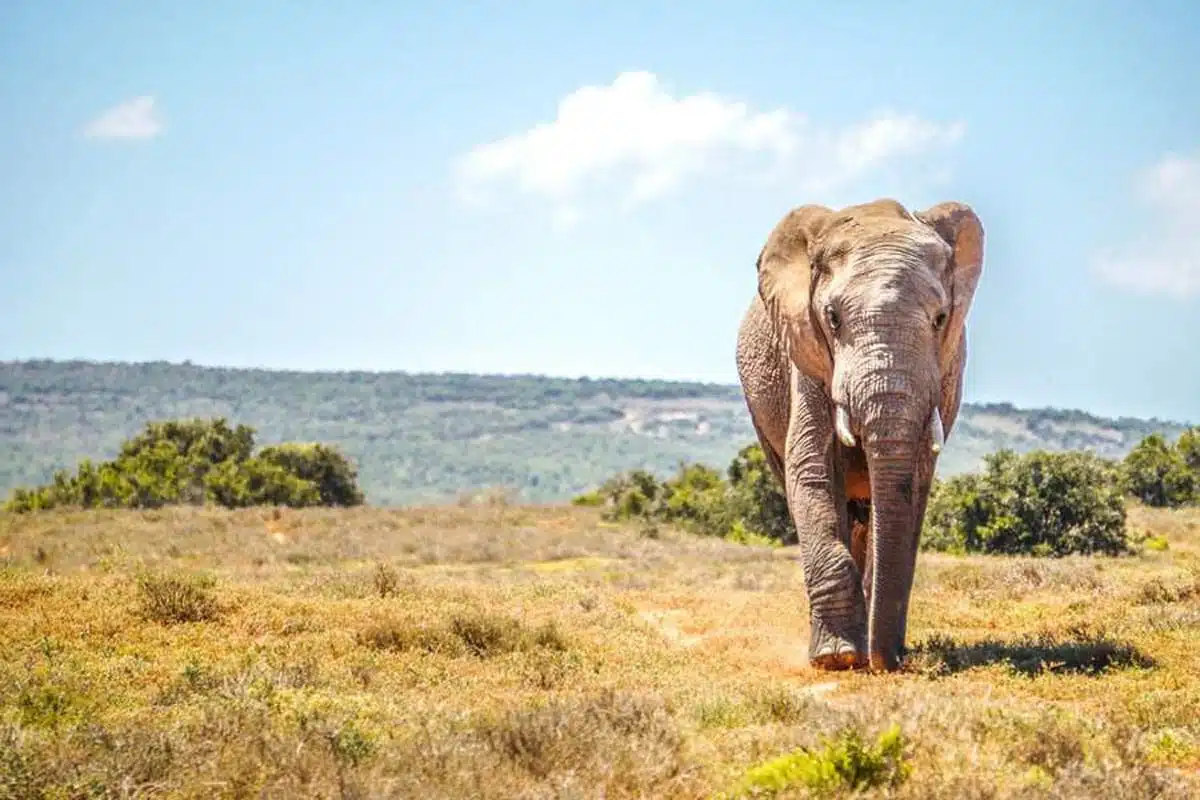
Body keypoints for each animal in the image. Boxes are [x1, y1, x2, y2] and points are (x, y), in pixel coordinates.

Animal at [735, 198, 985, 672]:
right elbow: (810, 469)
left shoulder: (943, 374)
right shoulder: (807, 355)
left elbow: (914, 484)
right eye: (832, 319)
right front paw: (837, 659)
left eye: (940, 319)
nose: (889, 662)